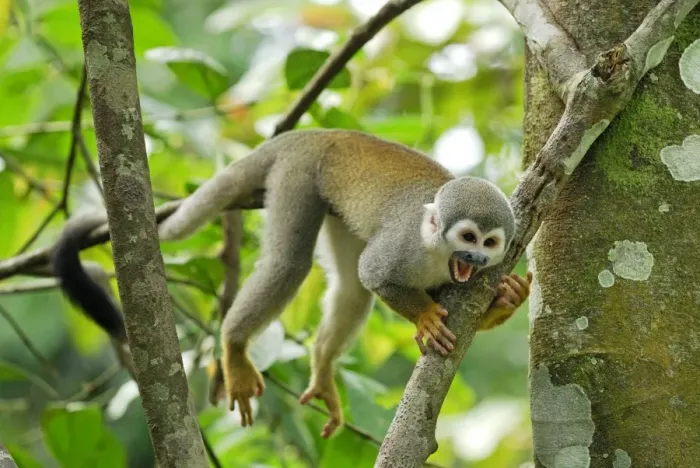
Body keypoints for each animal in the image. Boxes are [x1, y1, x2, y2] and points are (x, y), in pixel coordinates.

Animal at [52, 129, 530, 438]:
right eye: (467, 237)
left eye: (490, 242)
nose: (476, 258)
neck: (436, 254)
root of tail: (315, 133)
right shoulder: (404, 244)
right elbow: (374, 274)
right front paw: (426, 317)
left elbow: (381, 286)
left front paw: (506, 299)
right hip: (298, 175)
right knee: (292, 264)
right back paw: (234, 345)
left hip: (336, 204)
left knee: (350, 289)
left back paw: (321, 365)